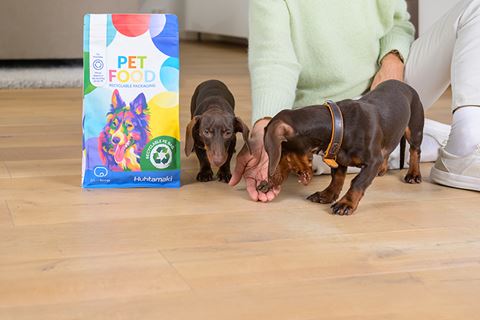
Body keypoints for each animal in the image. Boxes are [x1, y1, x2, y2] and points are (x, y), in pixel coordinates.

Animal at [262, 79, 424, 215]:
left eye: (278, 152)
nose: (267, 182)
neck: (343, 125)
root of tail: (404, 84)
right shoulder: (337, 156)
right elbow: (337, 178)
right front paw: (327, 195)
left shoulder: (372, 161)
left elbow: (358, 182)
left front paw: (346, 203)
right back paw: (383, 169)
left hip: (414, 129)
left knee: (414, 150)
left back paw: (413, 174)